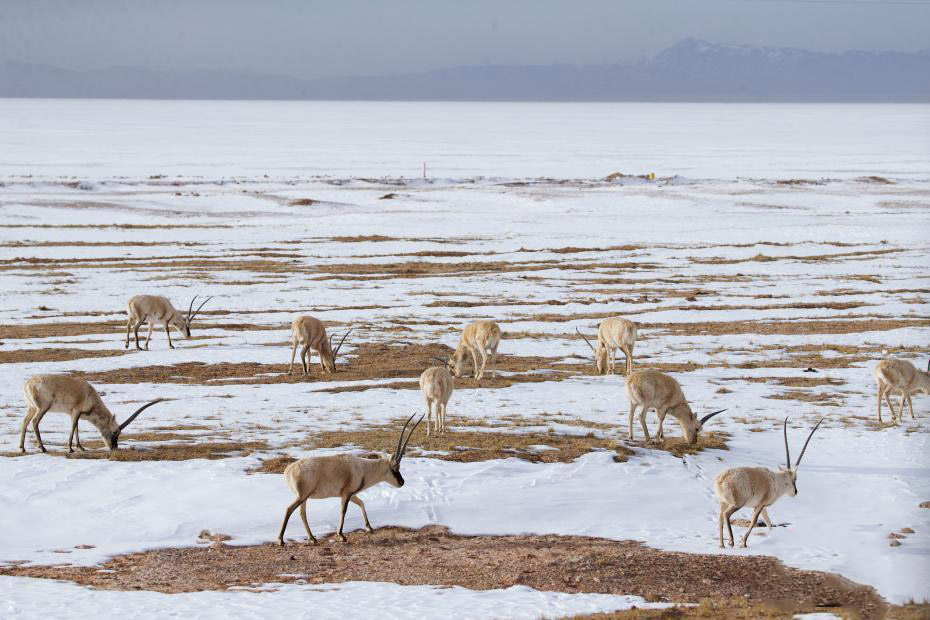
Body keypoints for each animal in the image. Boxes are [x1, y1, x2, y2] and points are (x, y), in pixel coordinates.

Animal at [18, 372, 163, 456]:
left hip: (31, 408)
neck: (90, 394)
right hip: (42, 407)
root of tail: (27, 384)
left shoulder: (73, 413)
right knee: (34, 422)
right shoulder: (76, 411)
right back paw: (42, 448)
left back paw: (22, 448)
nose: (114, 448)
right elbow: (73, 428)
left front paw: (81, 447)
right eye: (115, 432)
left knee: (25, 422)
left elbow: (76, 427)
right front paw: (70, 449)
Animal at [276, 414, 420, 544]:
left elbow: (362, 503)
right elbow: (343, 511)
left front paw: (369, 528)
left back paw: (312, 538)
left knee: (302, 514)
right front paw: (341, 536)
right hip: (302, 496)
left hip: (304, 498)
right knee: (289, 509)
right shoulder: (346, 494)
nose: (402, 482)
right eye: (396, 467)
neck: (363, 468)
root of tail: (288, 471)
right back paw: (281, 540)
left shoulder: (351, 495)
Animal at [716, 416, 824, 548]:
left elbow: (768, 523)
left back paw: (721, 544)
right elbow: (754, 521)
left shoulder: (762, 507)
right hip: (738, 503)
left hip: (723, 502)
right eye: (794, 479)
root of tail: (721, 479)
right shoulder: (760, 505)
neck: (776, 481)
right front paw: (744, 542)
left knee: (720, 517)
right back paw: (731, 541)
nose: (795, 492)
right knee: (726, 515)